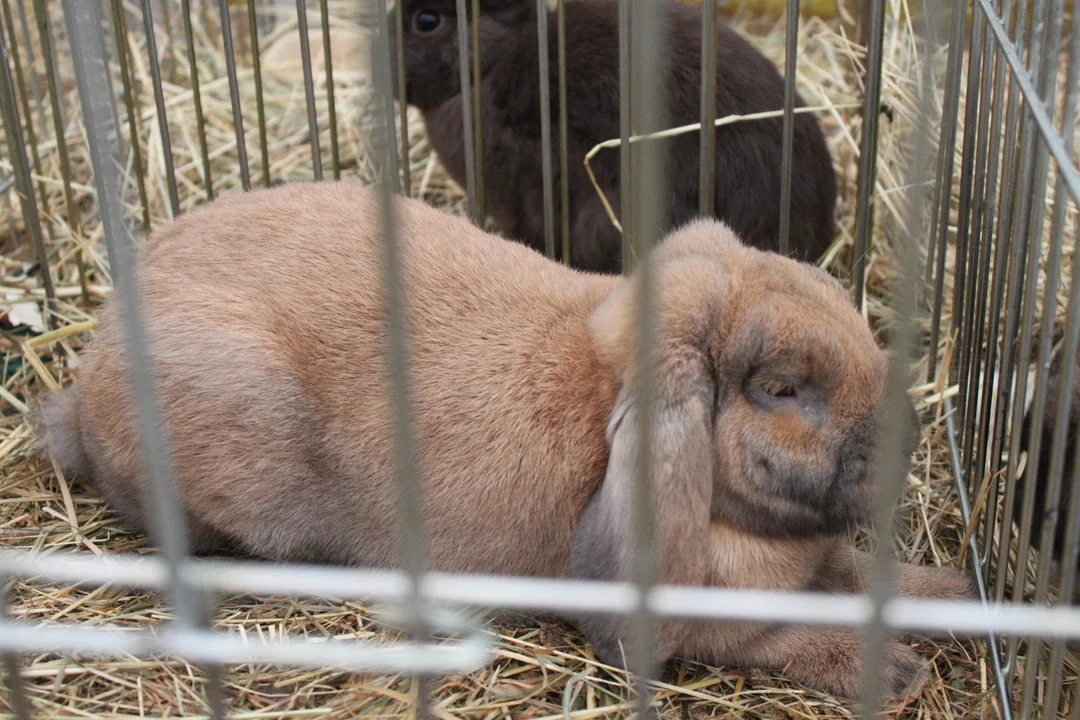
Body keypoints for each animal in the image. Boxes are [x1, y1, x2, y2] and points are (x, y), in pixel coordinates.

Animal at [39, 183, 972, 699]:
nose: (907, 431)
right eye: (780, 389)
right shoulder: (722, 626)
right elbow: (781, 636)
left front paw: (961, 594)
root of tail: (87, 382)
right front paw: (898, 673)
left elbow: (867, 575)